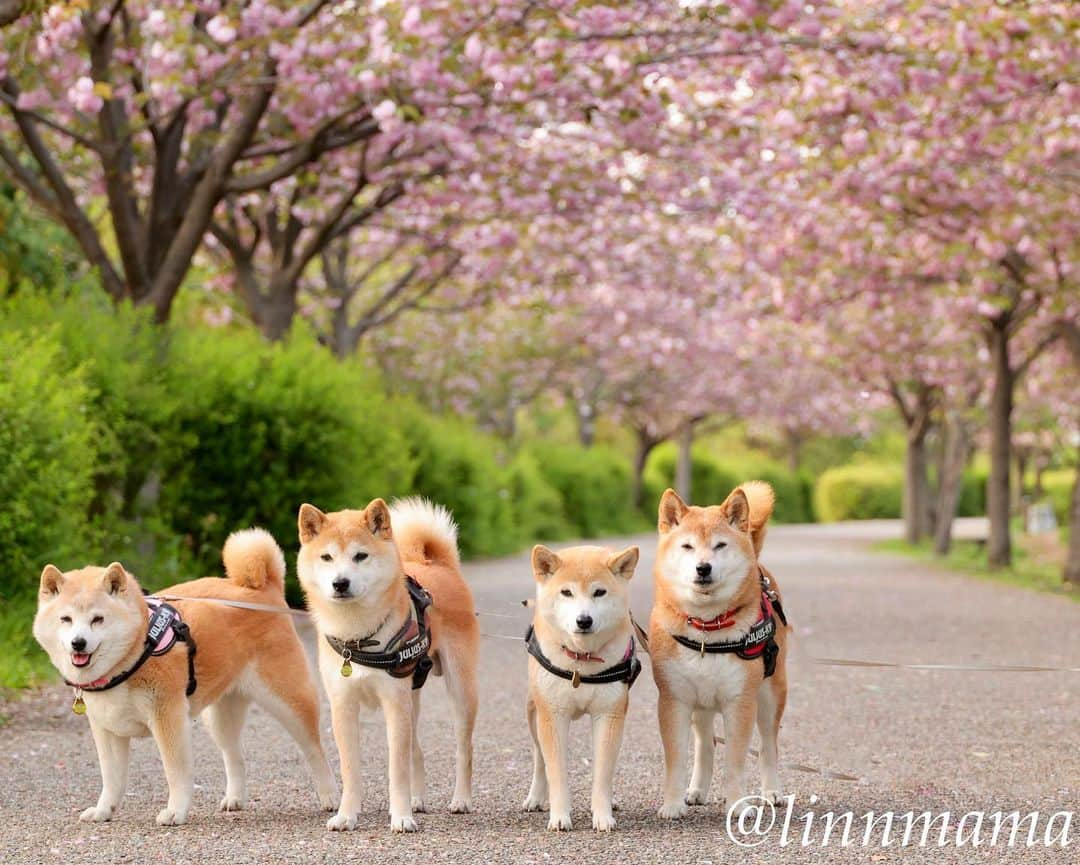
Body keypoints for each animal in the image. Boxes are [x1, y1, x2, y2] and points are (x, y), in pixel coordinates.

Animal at [32, 526, 336, 825]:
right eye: (66, 619)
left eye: (98, 619)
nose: (78, 643)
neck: (134, 653)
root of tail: (263, 587)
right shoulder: (107, 729)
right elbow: (112, 778)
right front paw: (103, 810)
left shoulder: (168, 718)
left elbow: (175, 772)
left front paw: (175, 811)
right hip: (220, 716)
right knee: (234, 756)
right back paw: (235, 798)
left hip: (288, 701)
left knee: (314, 749)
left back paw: (330, 796)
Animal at [298, 496, 479, 833]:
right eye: (327, 557)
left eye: (360, 556)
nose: (340, 583)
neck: (358, 637)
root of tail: (438, 565)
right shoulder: (343, 705)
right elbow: (350, 770)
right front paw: (346, 815)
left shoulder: (394, 703)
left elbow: (397, 769)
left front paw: (401, 816)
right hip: (412, 695)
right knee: (416, 751)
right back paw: (418, 799)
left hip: (460, 690)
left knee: (464, 749)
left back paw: (461, 800)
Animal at [522, 544, 639, 833]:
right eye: (567, 592)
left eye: (599, 592)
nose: (583, 620)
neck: (581, 663)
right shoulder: (552, 717)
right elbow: (555, 771)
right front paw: (559, 816)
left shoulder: (609, 715)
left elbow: (603, 771)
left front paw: (603, 815)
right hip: (533, 713)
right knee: (539, 757)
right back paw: (536, 797)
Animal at [643, 481, 790, 820]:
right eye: (687, 547)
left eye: (720, 545)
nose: (703, 568)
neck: (706, 631)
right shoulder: (674, 700)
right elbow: (676, 761)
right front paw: (672, 804)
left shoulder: (740, 702)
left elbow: (735, 763)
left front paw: (738, 805)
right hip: (701, 705)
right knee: (706, 745)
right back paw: (696, 790)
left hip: (770, 694)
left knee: (768, 746)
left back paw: (771, 792)